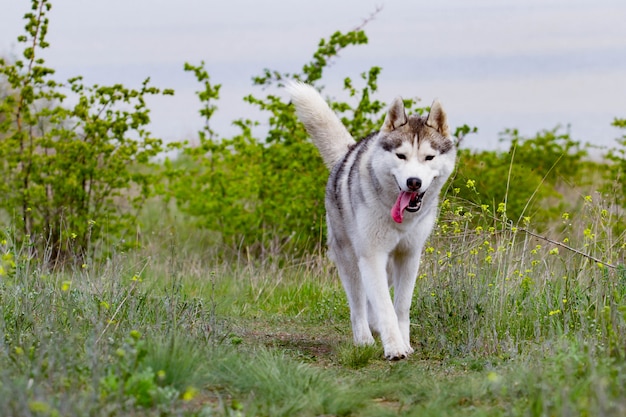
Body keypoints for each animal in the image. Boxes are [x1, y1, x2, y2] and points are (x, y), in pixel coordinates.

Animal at [286, 83, 456, 360]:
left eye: (429, 157)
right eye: (401, 156)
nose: (413, 182)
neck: (400, 220)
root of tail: (347, 154)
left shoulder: (409, 256)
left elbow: (401, 306)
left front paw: (404, 342)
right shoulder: (372, 255)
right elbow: (385, 307)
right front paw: (395, 348)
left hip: (385, 266)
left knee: (371, 298)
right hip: (351, 260)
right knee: (358, 304)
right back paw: (364, 338)